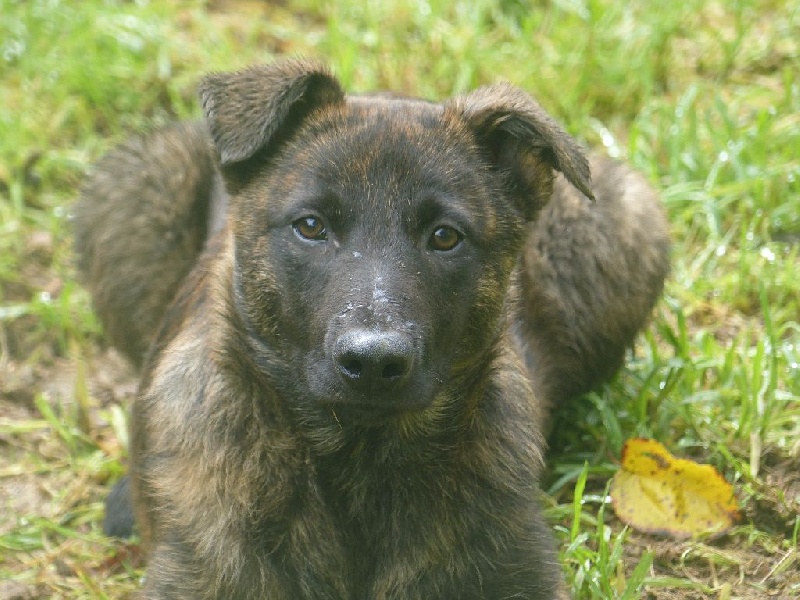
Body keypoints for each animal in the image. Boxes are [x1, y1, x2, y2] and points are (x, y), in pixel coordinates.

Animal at [75, 58, 669, 598]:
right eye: (311, 226)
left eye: (445, 236)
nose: (373, 362)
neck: (357, 460)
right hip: (133, 190)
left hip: (625, 225)